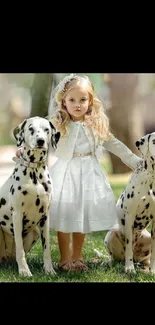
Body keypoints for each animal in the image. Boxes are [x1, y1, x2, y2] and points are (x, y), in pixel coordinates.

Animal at [0, 116, 60, 276]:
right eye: (31, 129)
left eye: (47, 129)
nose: (40, 141)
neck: (34, 172)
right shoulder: (17, 215)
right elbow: (19, 249)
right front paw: (24, 271)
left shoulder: (45, 217)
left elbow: (46, 249)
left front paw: (49, 270)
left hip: (35, 232)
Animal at [104, 133, 155, 272]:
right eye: (154, 141)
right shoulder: (130, 215)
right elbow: (128, 248)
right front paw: (129, 268)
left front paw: (153, 270)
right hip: (111, 233)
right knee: (115, 257)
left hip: (147, 238)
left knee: (145, 259)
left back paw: (145, 267)